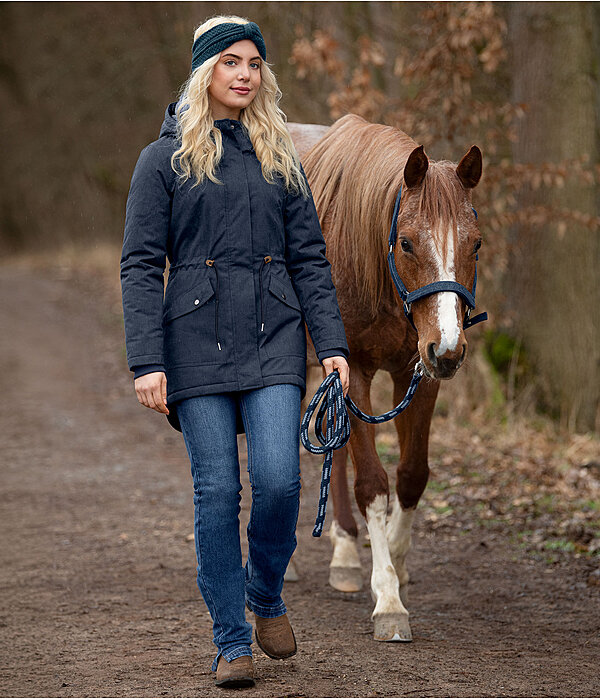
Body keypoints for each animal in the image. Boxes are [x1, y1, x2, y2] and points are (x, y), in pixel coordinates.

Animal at [288, 113, 482, 640]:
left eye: (475, 244)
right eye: (408, 242)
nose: (451, 348)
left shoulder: (422, 369)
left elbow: (412, 476)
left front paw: (395, 559)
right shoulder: (352, 367)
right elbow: (373, 484)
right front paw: (389, 598)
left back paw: (345, 553)